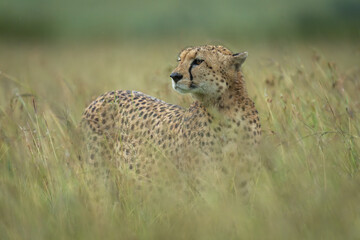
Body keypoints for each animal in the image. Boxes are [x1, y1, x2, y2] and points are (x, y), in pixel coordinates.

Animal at [81, 45, 262, 194]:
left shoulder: (243, 184)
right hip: (99, 178)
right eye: (180, 60)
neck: (227, 109)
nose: (174, 75)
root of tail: (106, 94)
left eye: (198, 61)